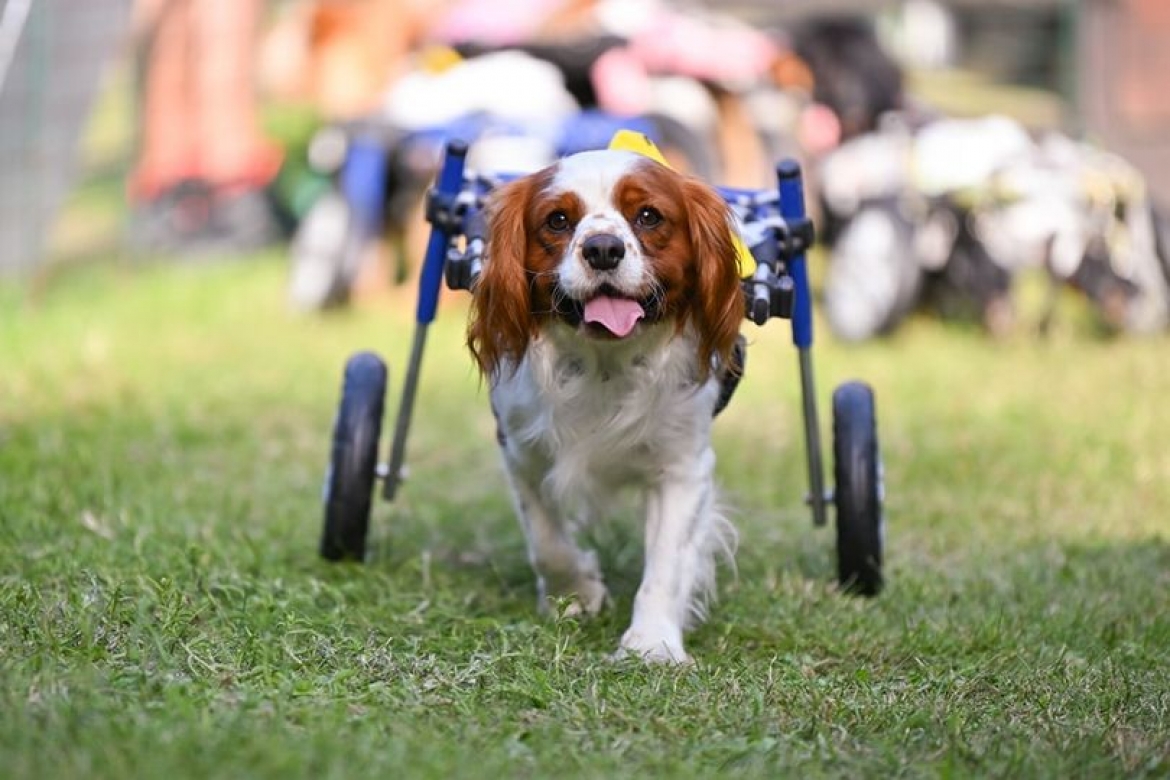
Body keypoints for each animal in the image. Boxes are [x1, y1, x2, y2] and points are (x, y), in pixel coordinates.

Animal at [463, 149, 739, 664]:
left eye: (648, 216)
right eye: (558, 220)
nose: (604, 248)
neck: (604, 364)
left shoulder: (683, 468)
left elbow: (667, 564)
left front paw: (652, 644)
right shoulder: (521, 453)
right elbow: (546, 542)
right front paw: (577, 592)